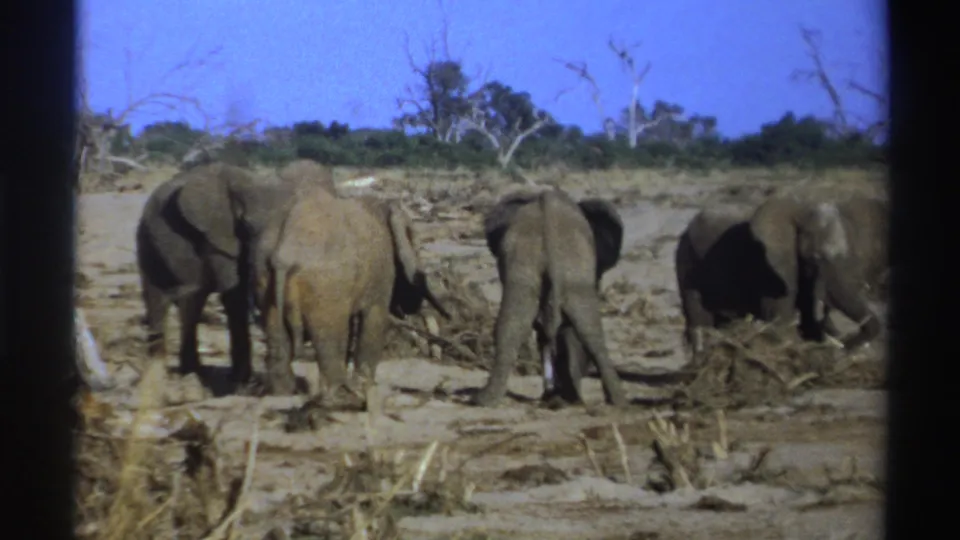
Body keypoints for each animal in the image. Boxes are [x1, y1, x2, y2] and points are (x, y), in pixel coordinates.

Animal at [134, 161, 329, 386]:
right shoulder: (217, 235)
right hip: (147, 237)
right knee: (165, 298)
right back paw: (171, 372)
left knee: (183, 302)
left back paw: (182, 370)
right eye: (247, 225)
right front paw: (241, 382)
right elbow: (234, 295)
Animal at [255, 191, 451, 399]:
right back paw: (341, 394)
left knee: (276, 334)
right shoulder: (380, 272)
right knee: (330, 336)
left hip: (264, 277)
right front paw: (366, 386)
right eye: (416, 245)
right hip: (325, 286)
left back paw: (283, 394)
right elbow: (375, 319)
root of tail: (285, 253)